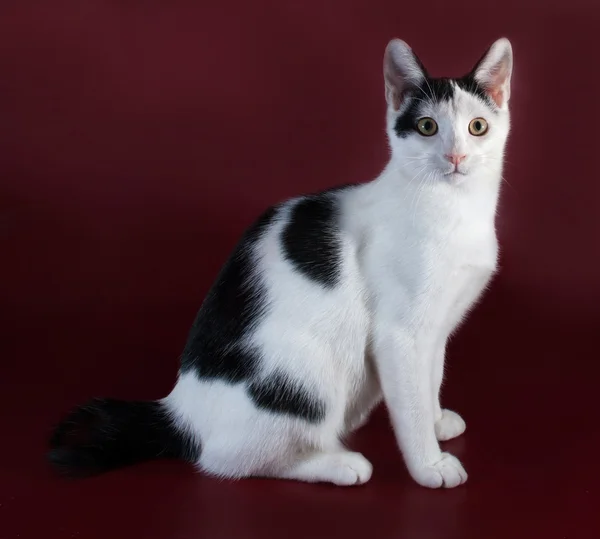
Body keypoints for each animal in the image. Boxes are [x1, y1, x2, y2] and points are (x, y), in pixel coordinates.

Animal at [49, 38, 512, 490]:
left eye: (477, 127)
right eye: (427, 126)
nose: (456, 157)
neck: (454, 210)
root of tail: (179, 412)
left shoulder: (436, 329)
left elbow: (429, 379)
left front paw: (436, 422)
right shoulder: (399, 335)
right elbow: (410, 403)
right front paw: (429, 464)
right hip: (309, 374)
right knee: (226, 461)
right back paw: (338, 464)